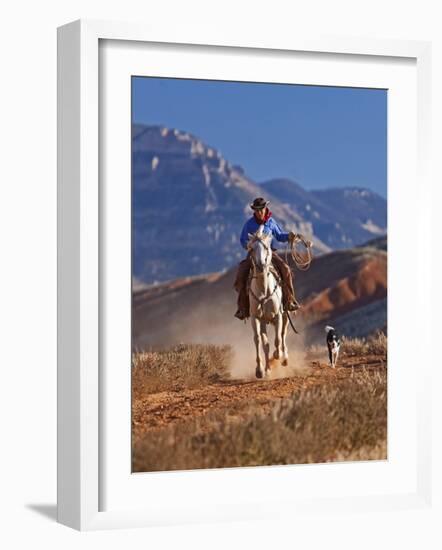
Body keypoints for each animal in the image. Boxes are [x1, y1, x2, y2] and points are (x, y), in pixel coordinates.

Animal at [249, 225, 290, 380]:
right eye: (251, 248)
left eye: (266, 247)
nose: (260, 266)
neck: (264, 290)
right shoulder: (255, 318)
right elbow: (258, 341)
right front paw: (260, 370)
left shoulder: (278, 316)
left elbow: (277, 339)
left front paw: (277, 355)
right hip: (264, 322)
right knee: (265, 343)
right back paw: (268, 368)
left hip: (285, 316)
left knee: (283, 335)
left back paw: (284, 358)